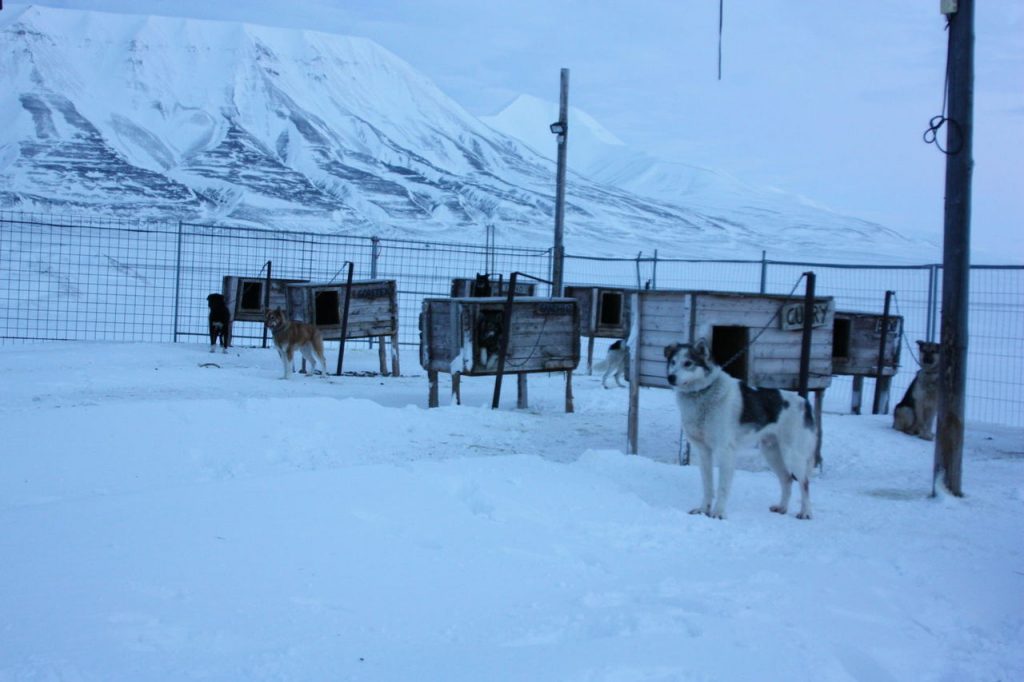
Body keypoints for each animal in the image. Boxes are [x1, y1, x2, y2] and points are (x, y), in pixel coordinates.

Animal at [667, 339, 819, 520]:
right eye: (673, 362)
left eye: (688, 363)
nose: (670, 377)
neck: (702, 393)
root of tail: (806, 403)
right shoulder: (704, 452)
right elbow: (708, 486)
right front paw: (703, 510)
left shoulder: (725, 451)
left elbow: (722, 488)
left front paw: (718, 513)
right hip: (771, 453)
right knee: (787, 479)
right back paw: (782, 508)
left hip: (793, 456)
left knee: (805, 484)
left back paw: (806, 513)